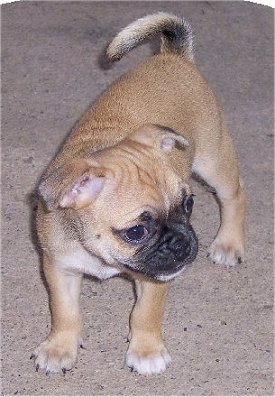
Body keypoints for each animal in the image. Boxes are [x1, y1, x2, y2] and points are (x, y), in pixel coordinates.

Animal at [31, 12, 246, 376]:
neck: (101, 255)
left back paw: (229, 243)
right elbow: (65, 312)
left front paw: (146, 350)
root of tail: (173, 57)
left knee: (234, 194)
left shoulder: (157, 279)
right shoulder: (60, 270)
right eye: (135, 231)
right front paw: (60, 347)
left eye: (188, 204)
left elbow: (145, 313)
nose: (182, 242)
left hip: (213, 160)